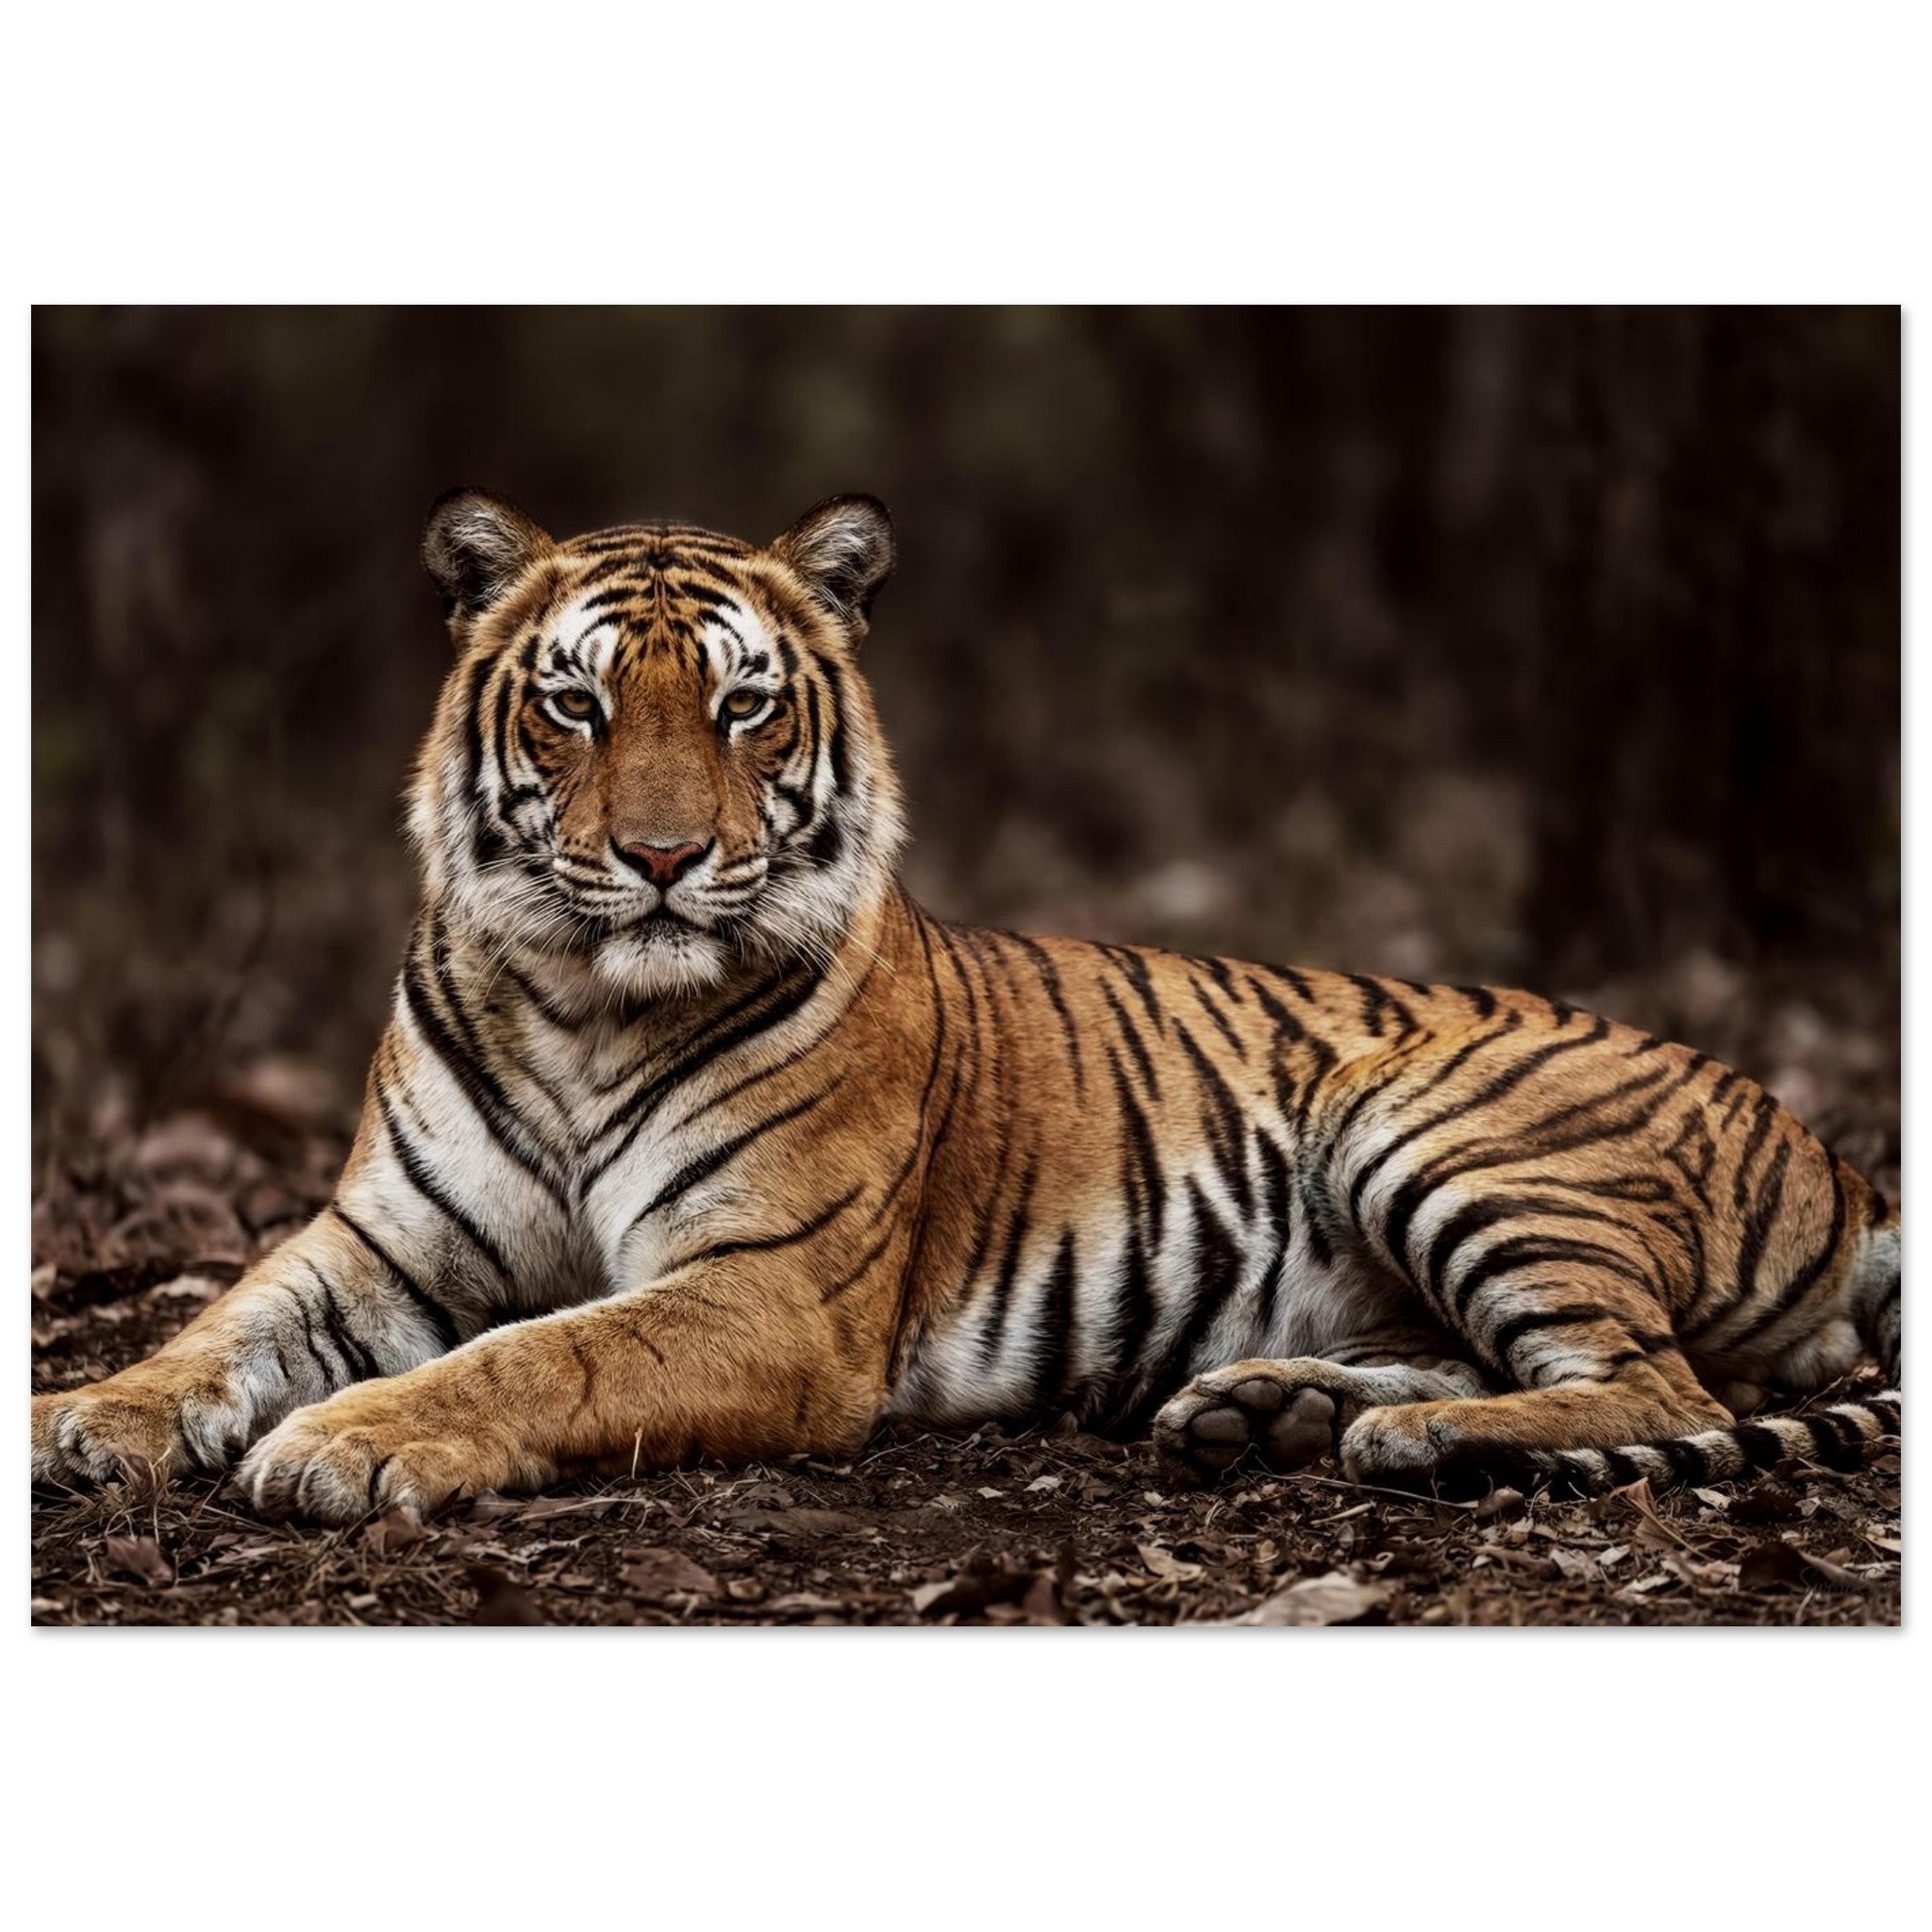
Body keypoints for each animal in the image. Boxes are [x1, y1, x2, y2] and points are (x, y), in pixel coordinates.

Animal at [31, 491, 1902, 1525]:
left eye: (742, 708)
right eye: (575, 705)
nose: (659, 858)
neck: (579, 1003)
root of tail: (1836, 1150)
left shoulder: (764, 1290)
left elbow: (540, 1354)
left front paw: (348, 1442)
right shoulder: (382, 1239)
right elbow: (219, 1327)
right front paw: (77, 1420)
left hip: (1436, 1117)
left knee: (1662, 1393)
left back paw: (1416, 1442)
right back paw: (1277, 1410)